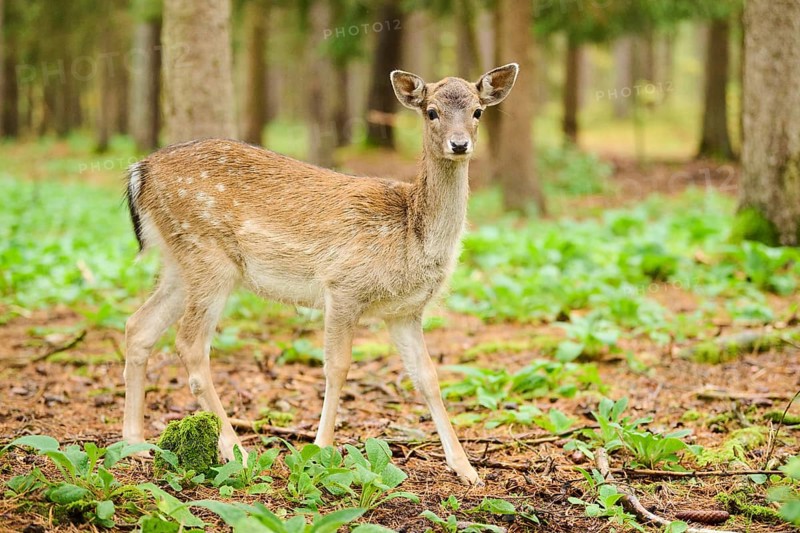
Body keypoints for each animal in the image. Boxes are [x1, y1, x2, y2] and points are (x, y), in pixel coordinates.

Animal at [122, 64, 519, 485]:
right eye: (431, 112)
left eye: (478, 111)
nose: (459, 144)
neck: (411, 233)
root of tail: (139, 171)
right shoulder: (343, 285)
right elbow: (338, 367)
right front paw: (320, 452)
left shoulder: (404, 312)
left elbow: (427, 377)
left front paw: (467, 469)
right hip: (207, 252)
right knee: (190, 345)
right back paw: (238, 453)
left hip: (179, 262)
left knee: (138, 326)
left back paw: (134, 444)